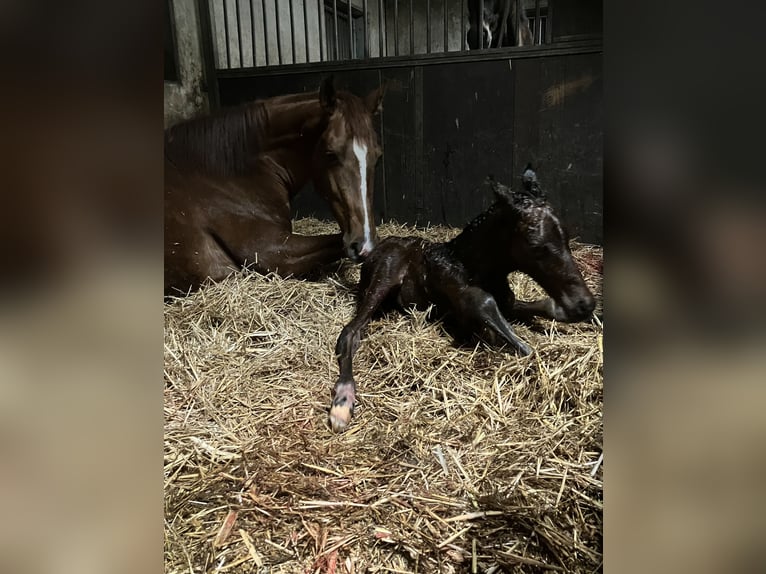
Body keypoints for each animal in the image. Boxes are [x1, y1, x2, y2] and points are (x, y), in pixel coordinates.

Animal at [328, 166, 596, 432]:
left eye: (567, 236)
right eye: (536, 245)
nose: (584, 303)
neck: (468, 262)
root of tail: (376, 250)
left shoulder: (508, 302)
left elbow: (537, 307)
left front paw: (581, 314)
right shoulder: (462, 296)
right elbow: (490, 311)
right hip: (384, 277)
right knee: (350, 332)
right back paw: (342, 403)